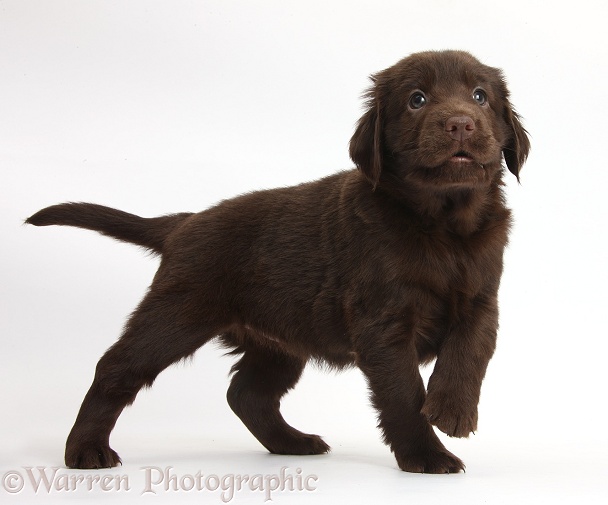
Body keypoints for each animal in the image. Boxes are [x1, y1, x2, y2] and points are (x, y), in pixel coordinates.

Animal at [26, 51, 528, 472]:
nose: (461, 124)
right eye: (416, 100)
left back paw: (293, 442)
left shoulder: (483, 298)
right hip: (176, 313)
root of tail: (185, 222)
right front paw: (428, 455)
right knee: (117, 368)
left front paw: (453, 409)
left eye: (480, 96)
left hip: (280, 339)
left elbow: (470, 349)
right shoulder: (383, 322)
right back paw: (86, 450)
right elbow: (404, 395)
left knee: (247, 393)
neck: (443, 224)